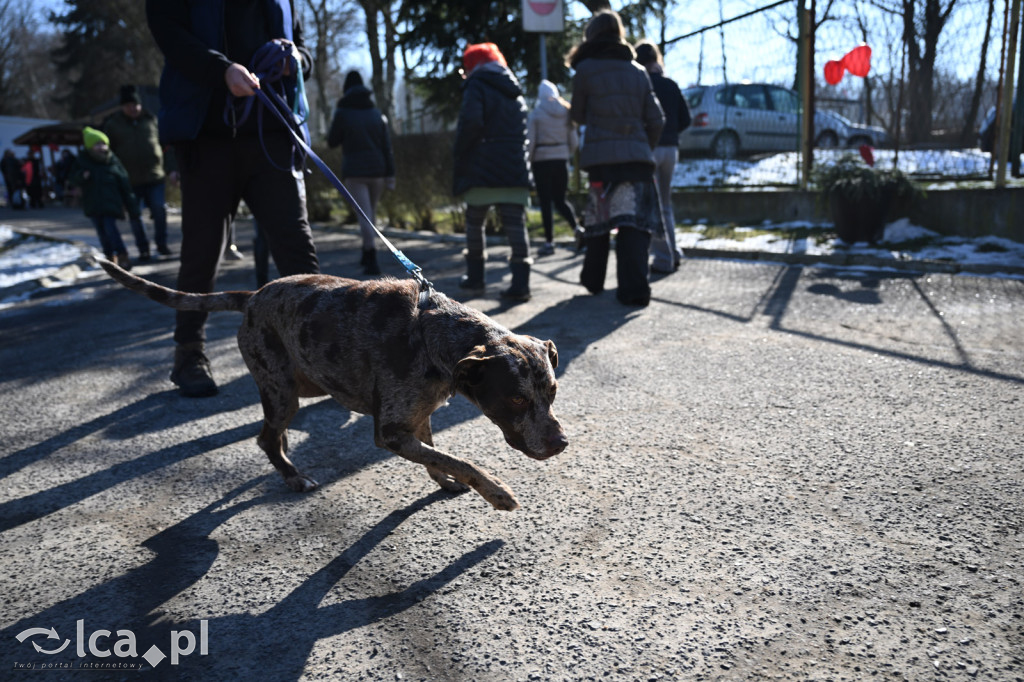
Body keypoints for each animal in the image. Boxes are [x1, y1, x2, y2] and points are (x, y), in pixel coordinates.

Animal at [97, 258, 569, 507]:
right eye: (515, 400)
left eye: (551, 392)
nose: (561, 443)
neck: (433, 335)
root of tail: (252, 296)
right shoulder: (390, 432)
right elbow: (462, 460)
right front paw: (496, 492)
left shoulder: (417, 416)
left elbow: (440, 456)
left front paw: (447, 480)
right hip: (282, 390)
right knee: (266, 437)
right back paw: (292, 476)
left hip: (299, 384)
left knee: (274, 435)